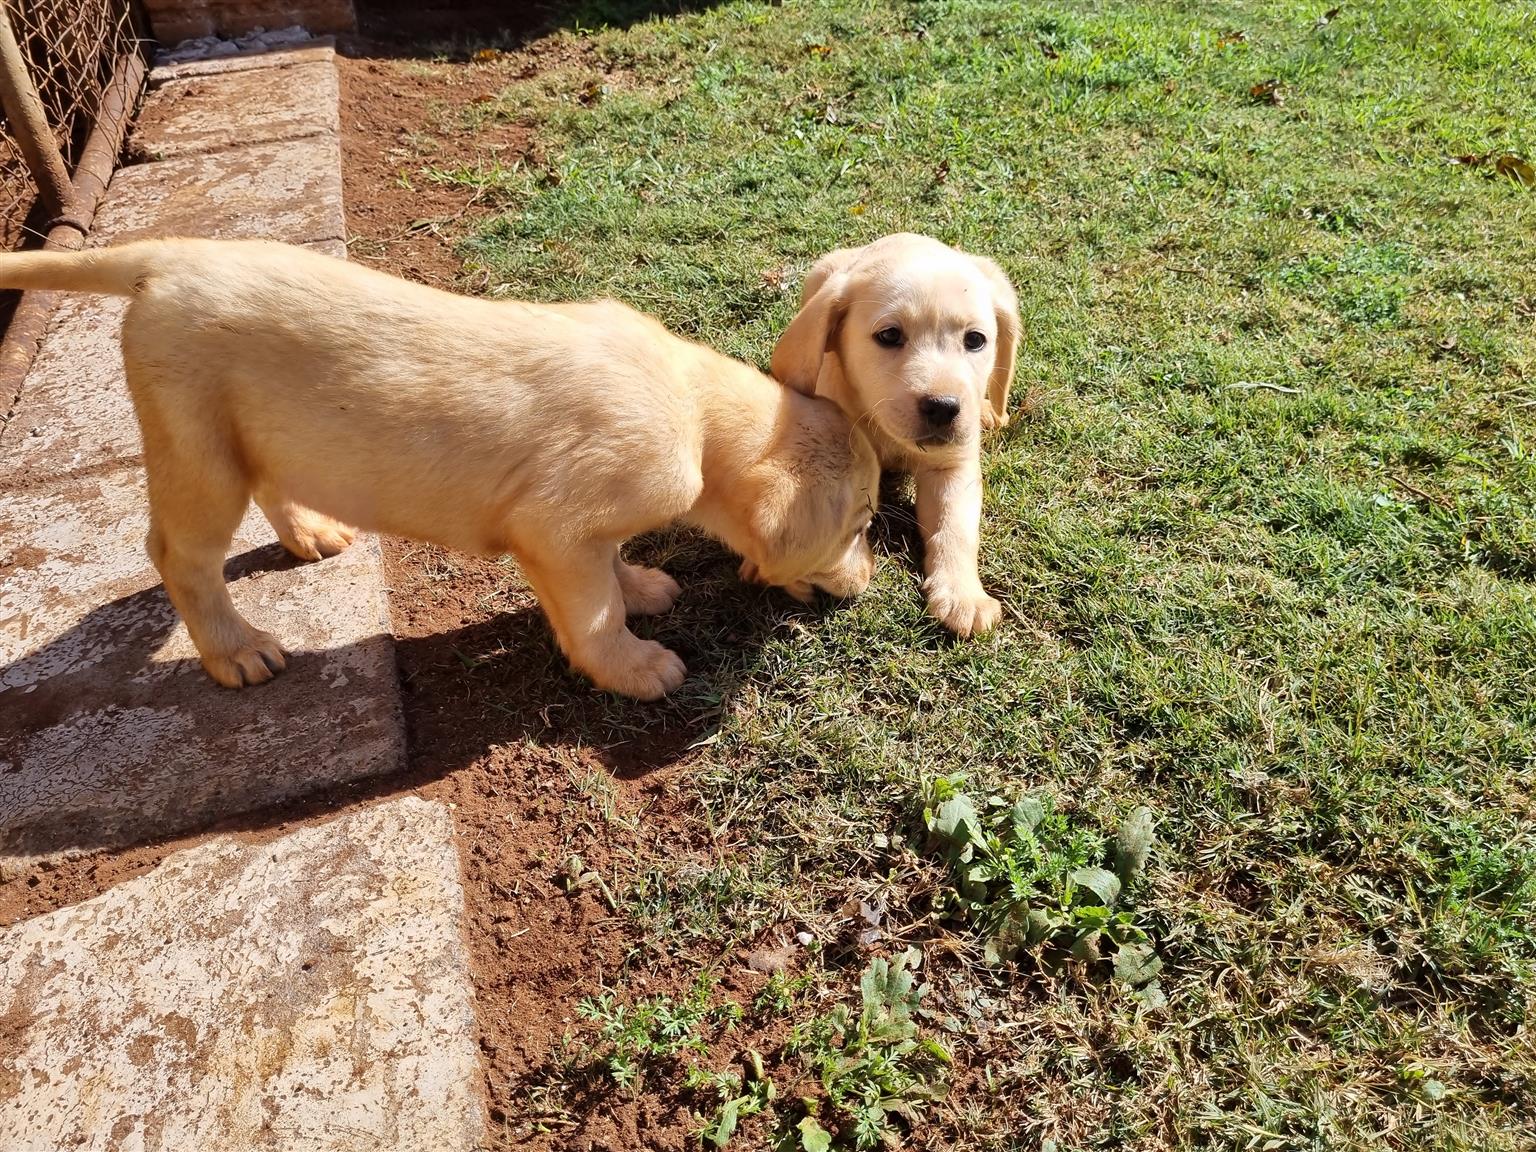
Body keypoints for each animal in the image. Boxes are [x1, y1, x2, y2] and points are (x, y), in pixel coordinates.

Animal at [0, 238, 880, 700]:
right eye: (862, 521)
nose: (870, 583)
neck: (693, 409)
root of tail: (168, 257)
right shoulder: (556, 528)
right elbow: (593, 613)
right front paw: (636, 665)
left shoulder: (582, 532)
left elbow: (612, 570)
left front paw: (641, 586)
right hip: (196, 453)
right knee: (179, 556)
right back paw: (237, 652)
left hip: (253, 434)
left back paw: (310, 536)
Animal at [770, 233, 1019, 637]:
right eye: (888, 335)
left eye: (975, 340)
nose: (944, 408)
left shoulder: (953, 467)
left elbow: (956, 527)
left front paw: (964, 596)